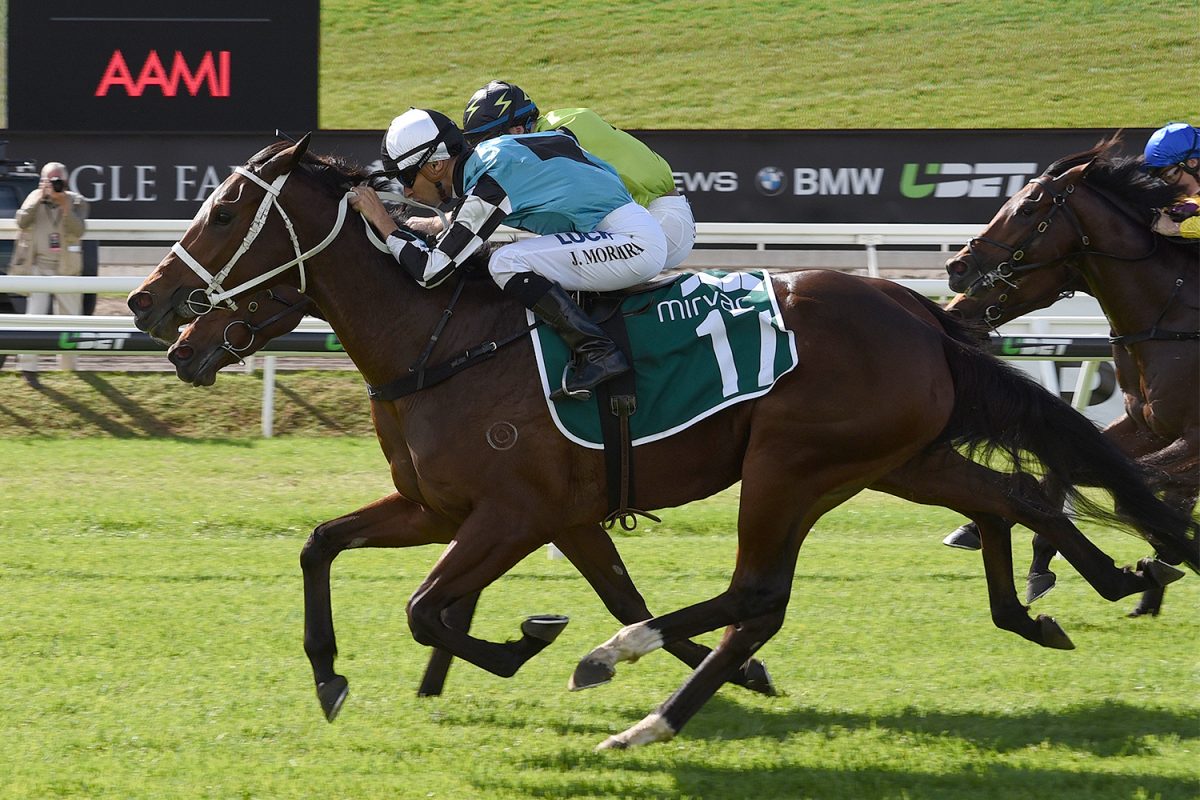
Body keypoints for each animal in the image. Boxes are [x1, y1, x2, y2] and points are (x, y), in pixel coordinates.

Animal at [946, 138, 1200, 617]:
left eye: (1027, 208)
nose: (957, 268)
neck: (1174, 315)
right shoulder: (1144, 425)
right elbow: (1078, 467)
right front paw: (1036, 561)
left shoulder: (1193, 438)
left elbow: (1138, 485)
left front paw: (1163, 554)